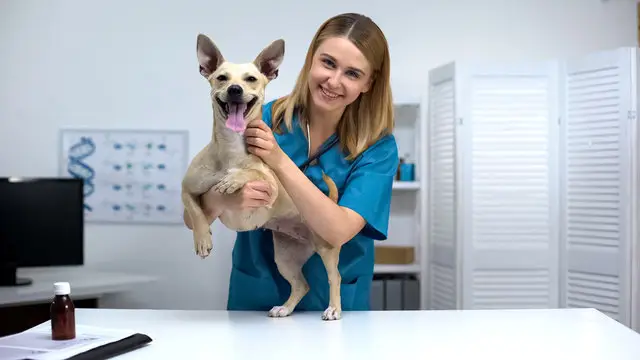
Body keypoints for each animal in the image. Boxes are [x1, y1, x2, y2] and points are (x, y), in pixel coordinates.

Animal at [180, 34, 344, 320]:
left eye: (251, 79)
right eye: (221, 77)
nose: (235, 89)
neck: (231, 150)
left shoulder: (270, 185)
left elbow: (254, 171)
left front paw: (233, 179)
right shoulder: (186, 188)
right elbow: (195, 210)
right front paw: (202, 239)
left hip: (326, 248)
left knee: (335, 278)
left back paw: (333, 308)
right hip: (285, 257)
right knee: (302, 285)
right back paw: (285, 308)